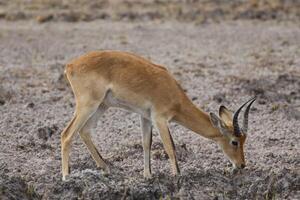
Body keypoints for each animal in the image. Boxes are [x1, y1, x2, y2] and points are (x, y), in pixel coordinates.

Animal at [60, 50, 255, 180]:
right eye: (235, 141)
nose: (242, 164)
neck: (174, 94)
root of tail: (71, 65)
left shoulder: (146, 117)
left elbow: (147, 143)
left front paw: (148, 175)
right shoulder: (160, 118)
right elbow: (170, 147)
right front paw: (177, 176)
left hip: (102, 106)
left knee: (84, 131)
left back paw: (106, 168)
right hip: (88, 105)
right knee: (66, 134)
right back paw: (66, 176)